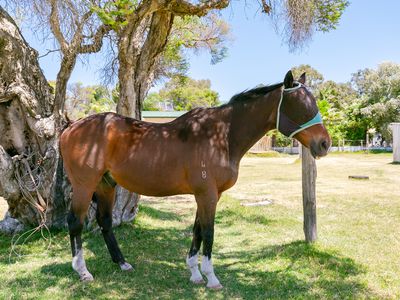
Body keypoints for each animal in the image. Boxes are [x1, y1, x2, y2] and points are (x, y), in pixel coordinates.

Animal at [59, 70, 332, 288]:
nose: (324, 144)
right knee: (75, 222)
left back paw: (122, 263)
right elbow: (208, 233)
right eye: (300, 105)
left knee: (104, 221)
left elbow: (197, 230)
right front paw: (211, 278)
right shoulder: (207, 194)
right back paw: (83, 271)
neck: (221, 136)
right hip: (84, 186)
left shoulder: (209, 195)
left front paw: (195, 273)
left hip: (106, 185)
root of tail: (71, 126)